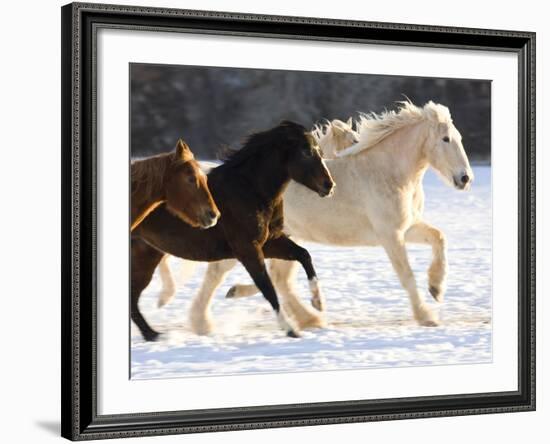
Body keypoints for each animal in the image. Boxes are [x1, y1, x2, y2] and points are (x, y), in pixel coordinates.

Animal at [133, 121, 336, 340]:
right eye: (306, 152)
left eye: (319, 151)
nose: (329, 185)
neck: (249, 190)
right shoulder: (247, 249)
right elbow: (267, 287)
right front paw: (290, 328)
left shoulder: (270, 241)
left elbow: (303, 255)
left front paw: (318, 302)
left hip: (147, 256)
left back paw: (153, 334)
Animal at [162, 102, 476, 334]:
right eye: (446, 139)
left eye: (460, 138)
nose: (465, 179)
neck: (388, 173)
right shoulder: (390, 235)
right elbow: (407, 275)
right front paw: (427, 315)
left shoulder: (406, 228)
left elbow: (439, 238)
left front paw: (436, 289)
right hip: (249, 241)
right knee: (221, 273)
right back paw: (203, 323)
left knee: (279, 279)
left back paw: (307, 317)